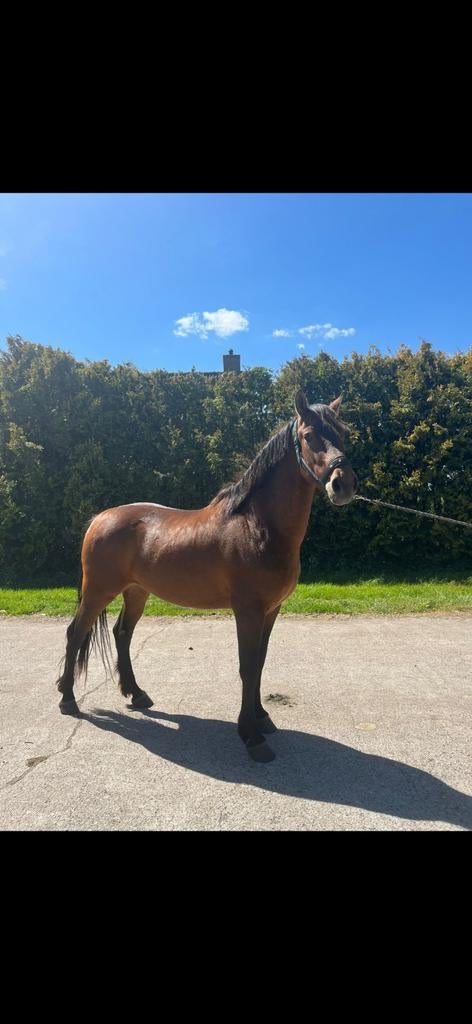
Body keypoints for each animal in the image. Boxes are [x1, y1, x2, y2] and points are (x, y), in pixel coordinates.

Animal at [56, 390, 358, 762]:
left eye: (342, 433)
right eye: (309, 436)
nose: (342, 484)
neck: (258, 526)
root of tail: (100, 518)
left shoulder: (271, 611)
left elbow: (260, 663)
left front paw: (262, 718)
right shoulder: (248, 611)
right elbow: (247, 666)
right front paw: (252, 737)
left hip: (136, 592)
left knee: (121, 634)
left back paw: (137, 694)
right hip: (99, 591)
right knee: (75, 633)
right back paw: (67, 699)